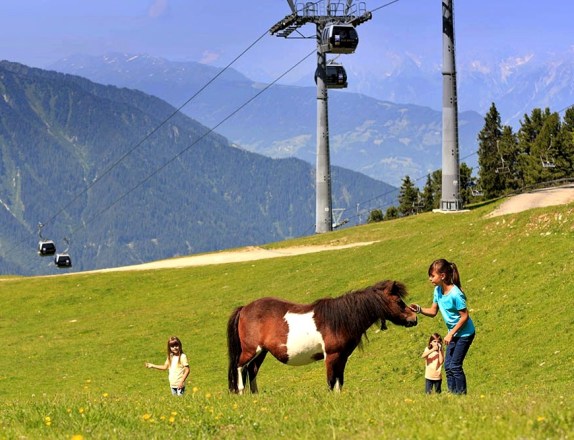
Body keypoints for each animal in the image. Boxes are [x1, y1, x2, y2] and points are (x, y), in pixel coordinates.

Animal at [227, 278, 420, 392]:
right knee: (240, 367)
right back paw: (242, 392)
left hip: (262, 353)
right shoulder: (331, 356)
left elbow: (339, 381)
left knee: (252, 371)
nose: (414, 318)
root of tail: (244, 308)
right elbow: (331, 381)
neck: (341, 319)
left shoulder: (342, 357)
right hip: (251, 350)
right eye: (398, 301)